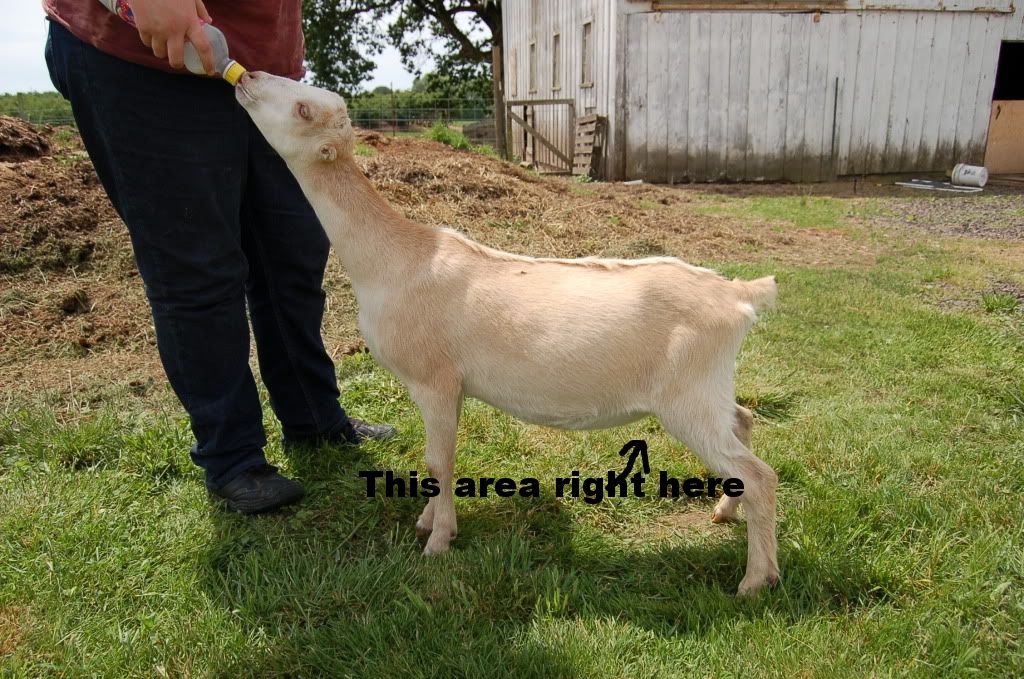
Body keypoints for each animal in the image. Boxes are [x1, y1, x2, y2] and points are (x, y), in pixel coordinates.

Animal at [236, 72, 780, 595]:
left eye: (302, 109)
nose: (246, 77)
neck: (394, 258)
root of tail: (739, 294)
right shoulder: (451, 386)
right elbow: (439, 460)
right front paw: (427, 521)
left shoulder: (434, 379)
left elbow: (438, 460)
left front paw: (438, 541)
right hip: (707, 387)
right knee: (743, 419)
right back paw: (725, 513)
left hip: (685, 397)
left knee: (759, 475)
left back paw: (756, 580)